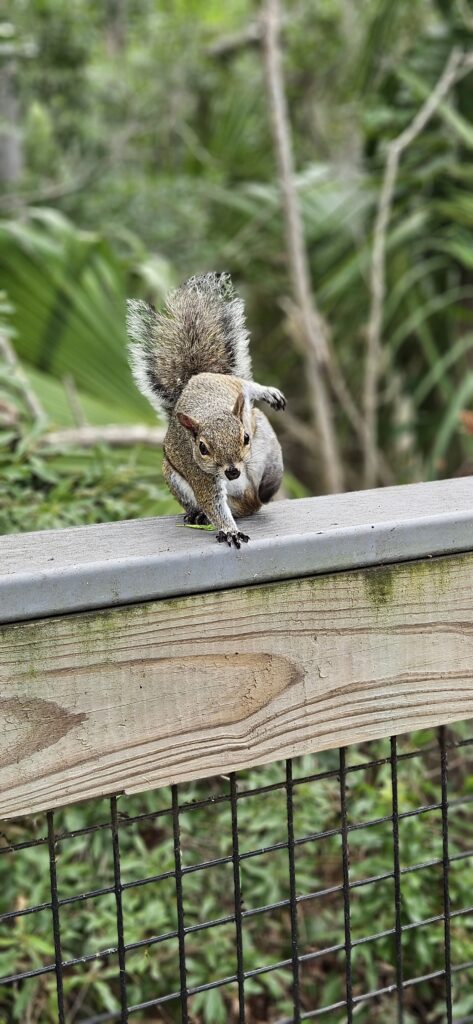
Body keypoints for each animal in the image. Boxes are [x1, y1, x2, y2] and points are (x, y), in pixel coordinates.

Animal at [125, 268, 284, 548]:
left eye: (245, 437)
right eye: (202, 448)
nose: (232, 471)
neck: (210, 411)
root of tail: (195, 377)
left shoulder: (257, 429)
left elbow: (275, 458)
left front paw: (270, 486)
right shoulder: (200, 474)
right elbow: (213, 503)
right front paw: (229, 530)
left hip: (240, 397)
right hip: (175, 477)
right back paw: (198, 514)